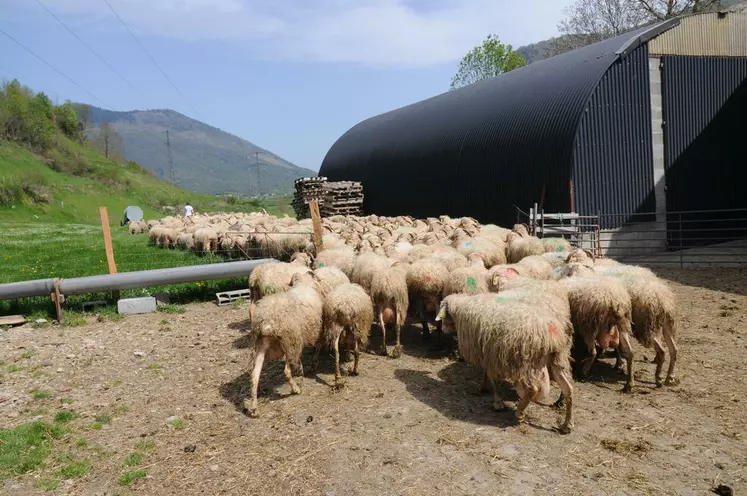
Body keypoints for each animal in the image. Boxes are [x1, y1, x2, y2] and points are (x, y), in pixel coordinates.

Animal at [245, 270, 324, 416]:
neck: (304, 284)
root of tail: (267, 321)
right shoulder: (316, 330)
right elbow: (317, 347)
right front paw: (312, 365)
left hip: (261, 346)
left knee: (254, 376)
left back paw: (254, 408)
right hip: (289, 341)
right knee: (286, 371)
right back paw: (295, 389)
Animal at [436, 294, 576, 434]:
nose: (443, 329)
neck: (461, 309)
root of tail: (553, 333)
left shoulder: (489, 355)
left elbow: (492, 378)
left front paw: (497, 402)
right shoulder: (488, 354)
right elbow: (486, 373)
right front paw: (484, 387)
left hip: (526, 362)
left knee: (533, 389)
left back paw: (520, 413)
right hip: (556, 359)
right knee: (568, 389)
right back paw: (566, 425)